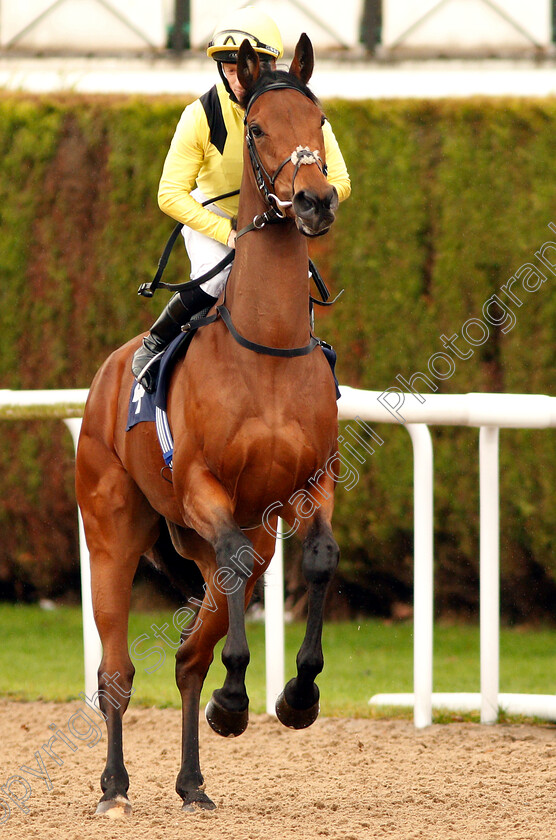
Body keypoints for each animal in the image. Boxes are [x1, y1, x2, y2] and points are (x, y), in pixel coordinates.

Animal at [75, 32, 338, 812]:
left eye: (319, 123)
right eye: (259, 129)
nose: (314, 201)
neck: (268, 345)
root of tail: (107, 374)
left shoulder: (309, 486)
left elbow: (321, 558)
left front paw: (295, 698)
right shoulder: (201, 489)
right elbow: (233, 567)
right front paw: (238, 700)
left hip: (238, 536)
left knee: (192, 654)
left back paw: (193, 779)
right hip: (114, 528)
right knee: (117, 670)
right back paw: (115, 786)